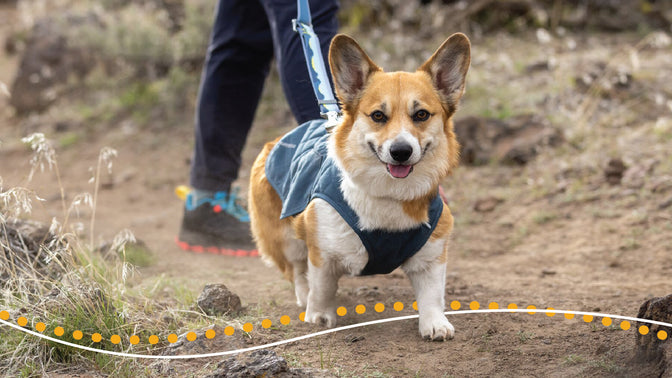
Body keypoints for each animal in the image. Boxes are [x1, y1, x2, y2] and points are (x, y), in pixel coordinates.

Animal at [249, 33, 470, 340]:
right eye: (378, 116)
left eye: (421, 115)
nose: (400, 152)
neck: (390, 195)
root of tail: (279, 139)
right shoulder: (322, 252)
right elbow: (322, 286)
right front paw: (319, 316)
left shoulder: (432, 255)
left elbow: (432, 295)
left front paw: (435, 324)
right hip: (285, 238)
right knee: (297, 271)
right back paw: (304, 300)